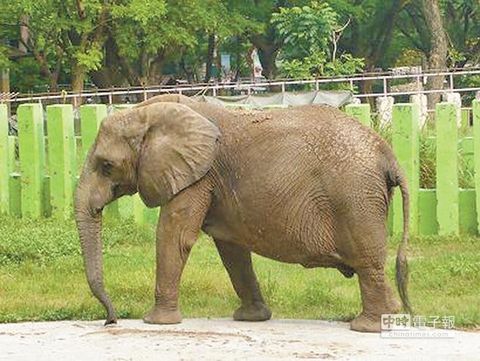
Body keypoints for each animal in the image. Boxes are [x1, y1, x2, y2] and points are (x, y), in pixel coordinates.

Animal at [74, 93, 408, 332]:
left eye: (106, 166)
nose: (110, 320)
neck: (147, 112)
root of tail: (388, 153)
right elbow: (232, 250)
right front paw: (251, 318)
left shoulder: (198, 176)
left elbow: (174, 235)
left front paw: (155, 322)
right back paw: (386, 316)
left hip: (355, 198)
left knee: (367, 262)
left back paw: (367, 326)